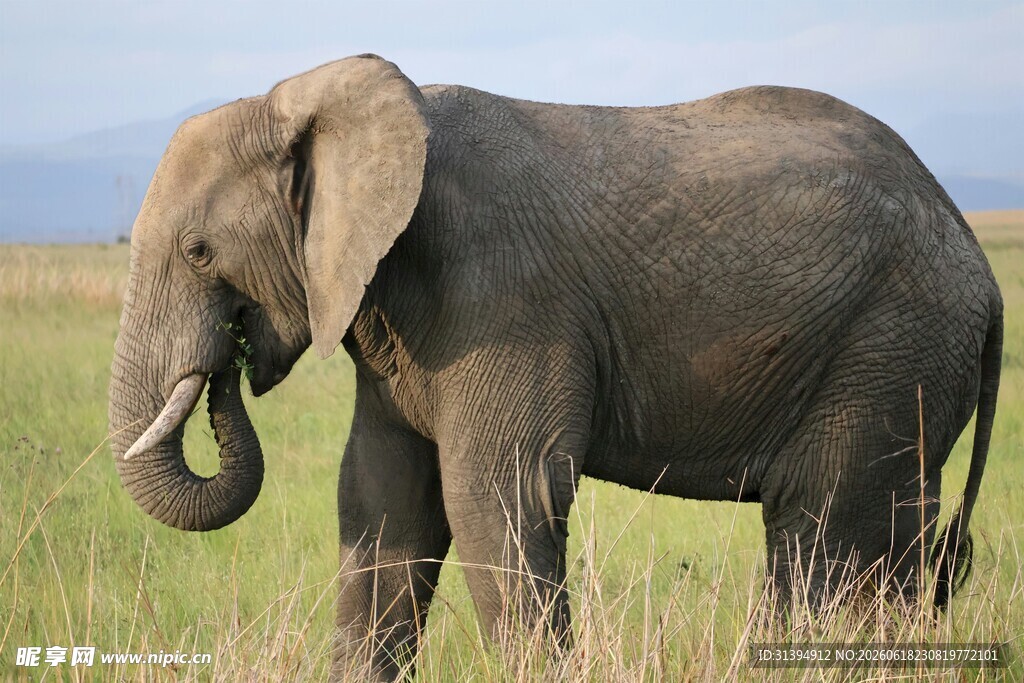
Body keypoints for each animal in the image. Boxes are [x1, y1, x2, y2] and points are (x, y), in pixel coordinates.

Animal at [109, 54, 1003, 679]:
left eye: (199, 252)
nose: (229, 357)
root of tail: (983, 271)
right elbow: (382, 501)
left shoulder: (500, 296)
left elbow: (496, 496)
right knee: (884, 539)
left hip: (887, 346)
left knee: (821, 535)